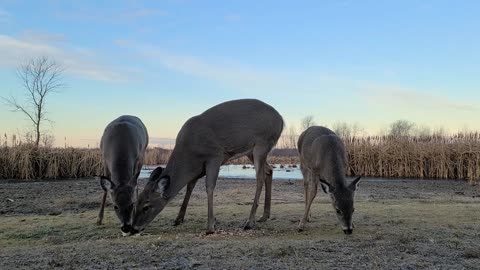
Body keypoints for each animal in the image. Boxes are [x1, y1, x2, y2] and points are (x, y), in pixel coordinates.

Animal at [129, 98, 284, 234]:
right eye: (136, 203)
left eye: (146, 206)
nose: (133, 228)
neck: (190, 152)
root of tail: (281, 120)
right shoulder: (198, 168)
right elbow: (190, 186)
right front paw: (178, 219)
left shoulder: (215, 156)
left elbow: (209, 187)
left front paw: (210, 226)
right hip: (251, 151)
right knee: (269, 170)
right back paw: (264, 216)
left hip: (262, 144)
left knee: (259, 178)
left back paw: (249, 222)